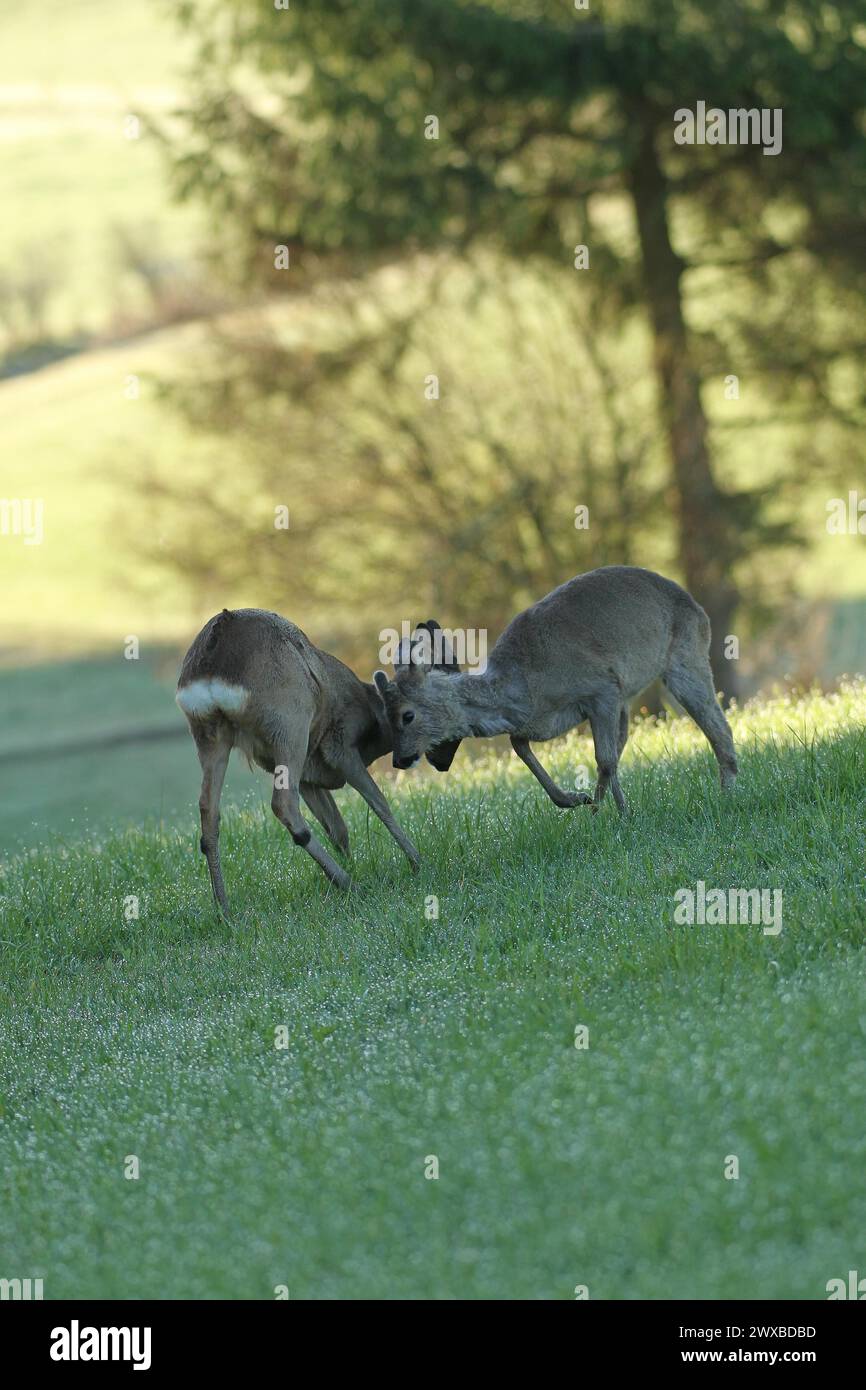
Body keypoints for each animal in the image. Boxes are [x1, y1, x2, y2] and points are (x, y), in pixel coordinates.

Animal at [176, 608, 461, 911]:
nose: (444, 762)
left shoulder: (308, 776)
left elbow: (337, 827)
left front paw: (357, 866)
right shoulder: (340, 745)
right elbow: (380, 804)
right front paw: (418, 863)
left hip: (209, 733)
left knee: (208, 810)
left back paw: (224, 908)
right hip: (290, 722)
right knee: (283, 803)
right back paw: (349, 884)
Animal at [372, 564, 739, 811]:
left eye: (407, 715)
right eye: (386, 715)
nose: (399, 761)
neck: (525, 688)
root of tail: (696, 606)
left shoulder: (602, 689)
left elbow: (605, 758)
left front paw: (620, 814)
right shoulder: (542, 720)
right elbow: (522, 747)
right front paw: (579, 801)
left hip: (685, 656)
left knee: (718, 725)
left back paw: (728, 792)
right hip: (636, 692)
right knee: (628, 738)